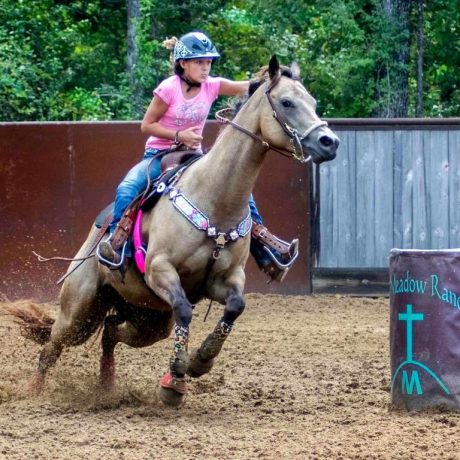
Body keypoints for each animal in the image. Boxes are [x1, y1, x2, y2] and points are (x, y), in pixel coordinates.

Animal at [3, 56, 338, 406]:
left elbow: (235, 307)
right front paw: (175, 379)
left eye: (313, 102)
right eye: (287, 102)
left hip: (148, 320)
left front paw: (201, 361)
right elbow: (184, 311)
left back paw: (107, 387)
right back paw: (34, 390)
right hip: (80, 309)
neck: (215, 198)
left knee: (110, 331)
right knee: (53, 345)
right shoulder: (160, 270)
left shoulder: (226, 278)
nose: (330, 142)